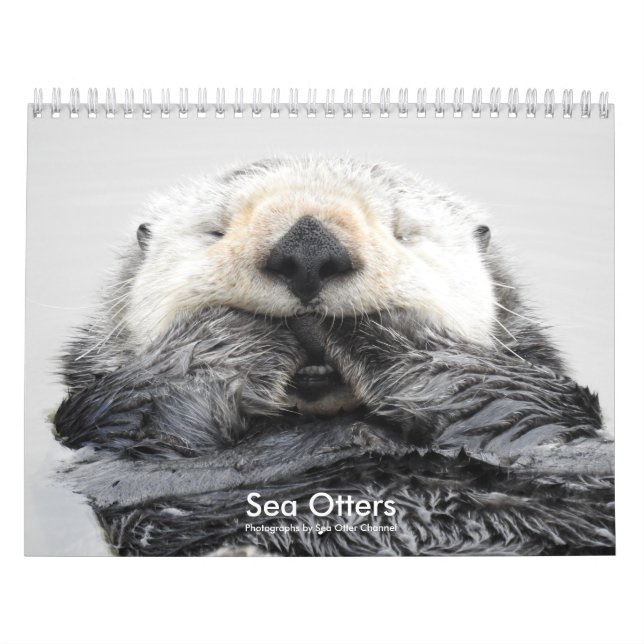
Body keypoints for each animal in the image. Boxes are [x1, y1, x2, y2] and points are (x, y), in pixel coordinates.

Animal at [54, 157, 613, 555]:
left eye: (405, 231)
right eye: (214, 230)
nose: (308, 246)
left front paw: (395, 330)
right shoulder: (118, 462)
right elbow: (147, 433)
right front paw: (225, 333)